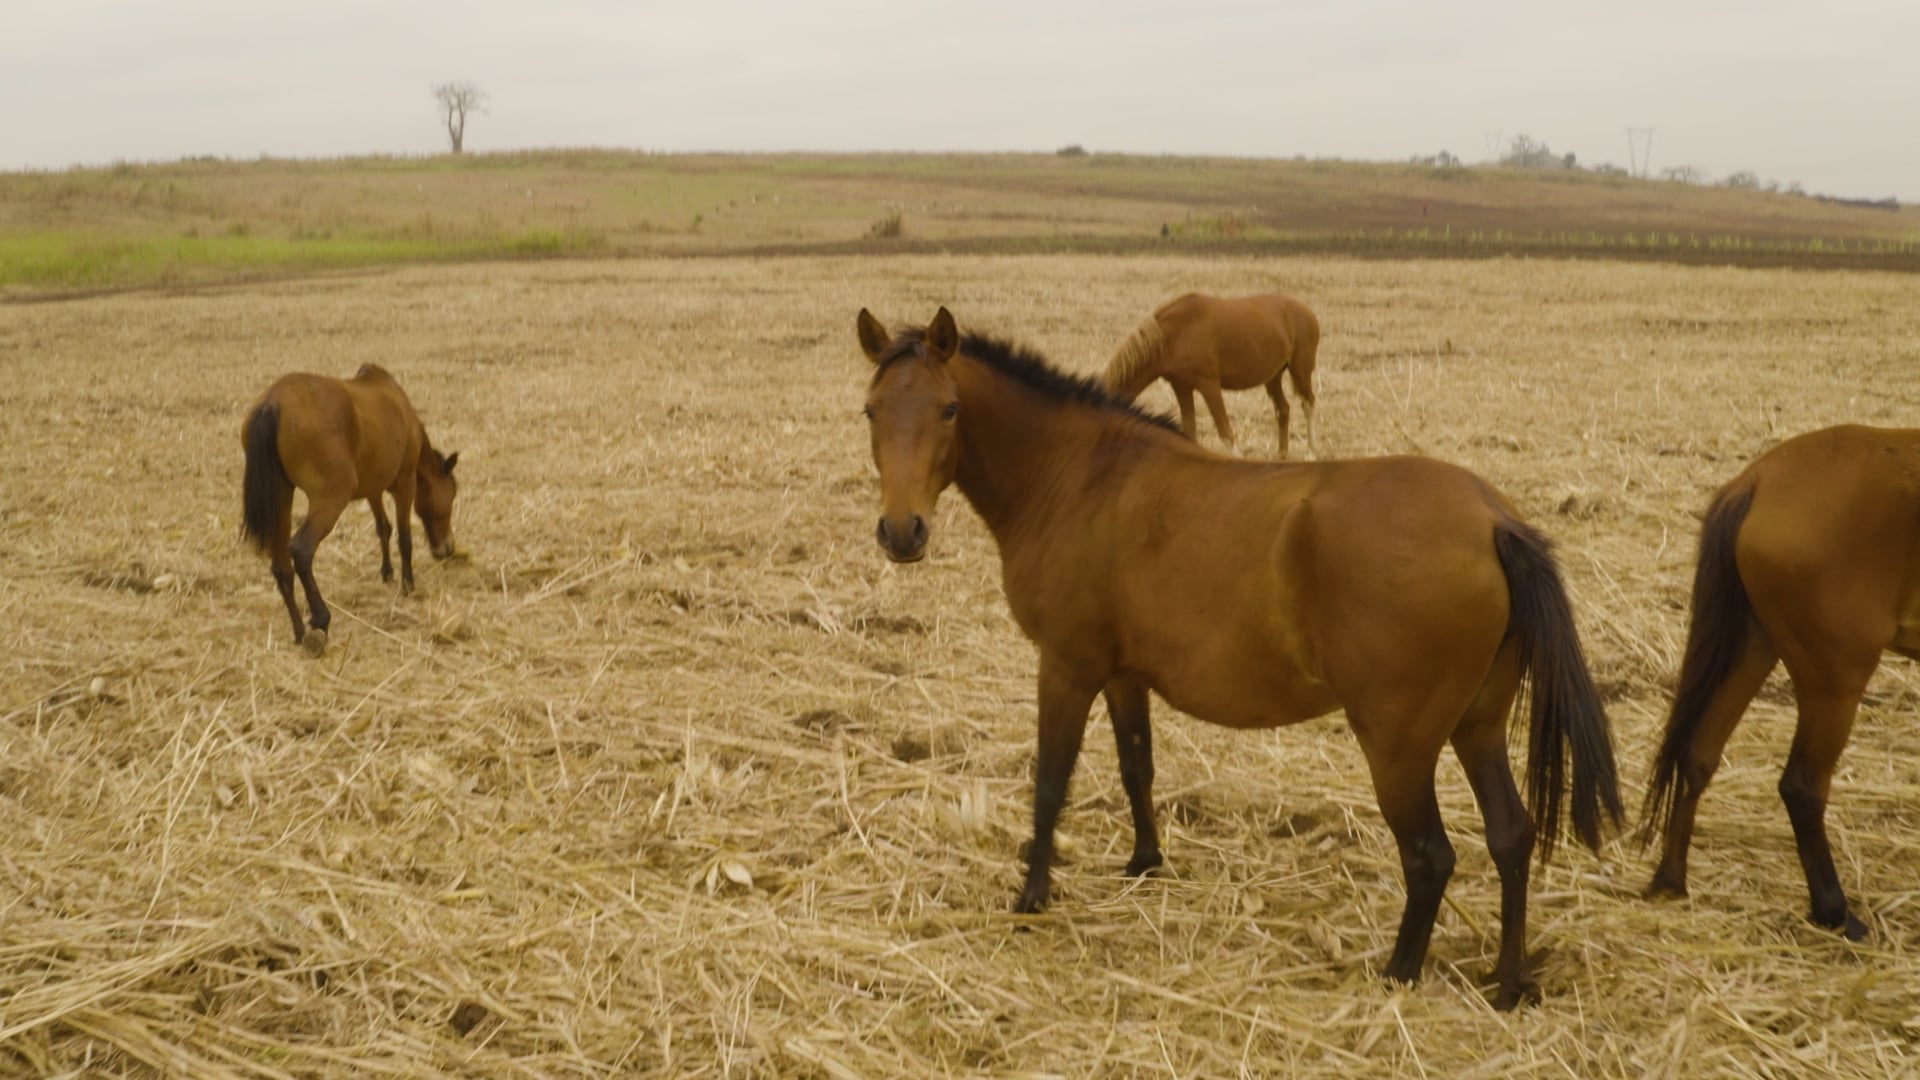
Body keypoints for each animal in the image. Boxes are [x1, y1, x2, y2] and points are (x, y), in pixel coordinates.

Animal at [240, 361, 460, 645]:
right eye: (452, 494)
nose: (448, 548)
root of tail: (273, 403)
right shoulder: (405, 483)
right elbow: (404, 538)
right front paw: (408, 584)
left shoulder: (373, 488)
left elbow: (383, 529)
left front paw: (387, 572)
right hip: (331, 499)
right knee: (301, 550)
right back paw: (320, 618)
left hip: (281, 498)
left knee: (281, 566)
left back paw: (300, 633)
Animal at [1105, 290, 1328, 453]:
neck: (1176, 333)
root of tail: (1308, 313)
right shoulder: (1181, 386)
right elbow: (1190, 432)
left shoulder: (1209, 385)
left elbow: (1226, 433)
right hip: (1273, 377)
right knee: (1283, 410)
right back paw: (1281, 456)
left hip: (1300, 370)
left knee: (1308, 404)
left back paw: (1311, 452)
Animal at [1635, 420, 1920, 933]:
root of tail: (1757, 481)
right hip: (1833, 682)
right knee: (1802, 787)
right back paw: (1834, 912)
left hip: (1752, 645)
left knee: (1698, 752)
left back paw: (1671, 878)